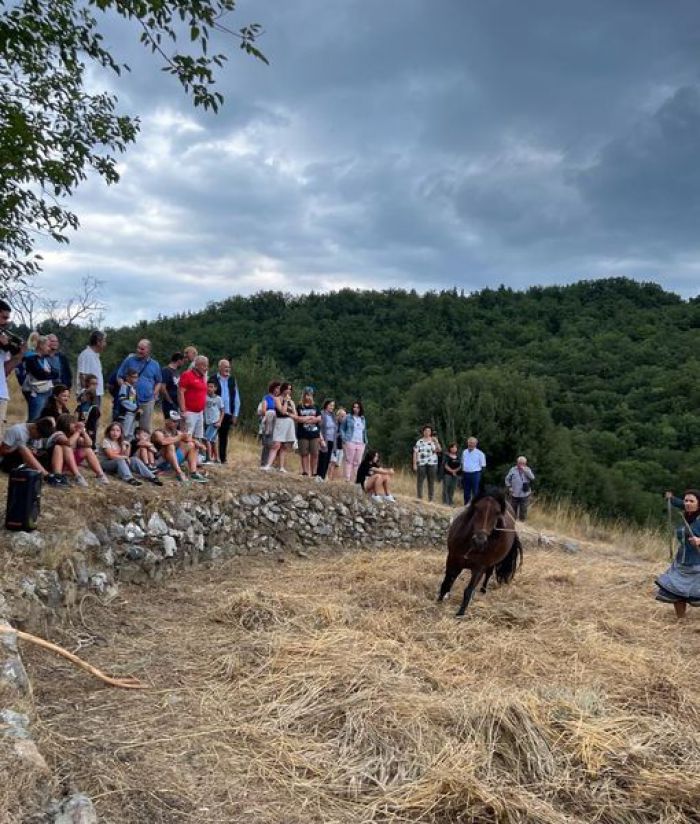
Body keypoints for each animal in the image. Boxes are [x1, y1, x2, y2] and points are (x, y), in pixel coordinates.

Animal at [438, 486, 520, 616]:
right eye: (477, 508)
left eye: (497, 513)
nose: (479, 541)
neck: (470, 545)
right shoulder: (452, 558)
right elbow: (447, 580)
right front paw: (440, 599)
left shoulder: (479, 568)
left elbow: (468, 590)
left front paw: (460, 613)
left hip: (490, 564)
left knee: (488, 574)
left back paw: (483, 590)